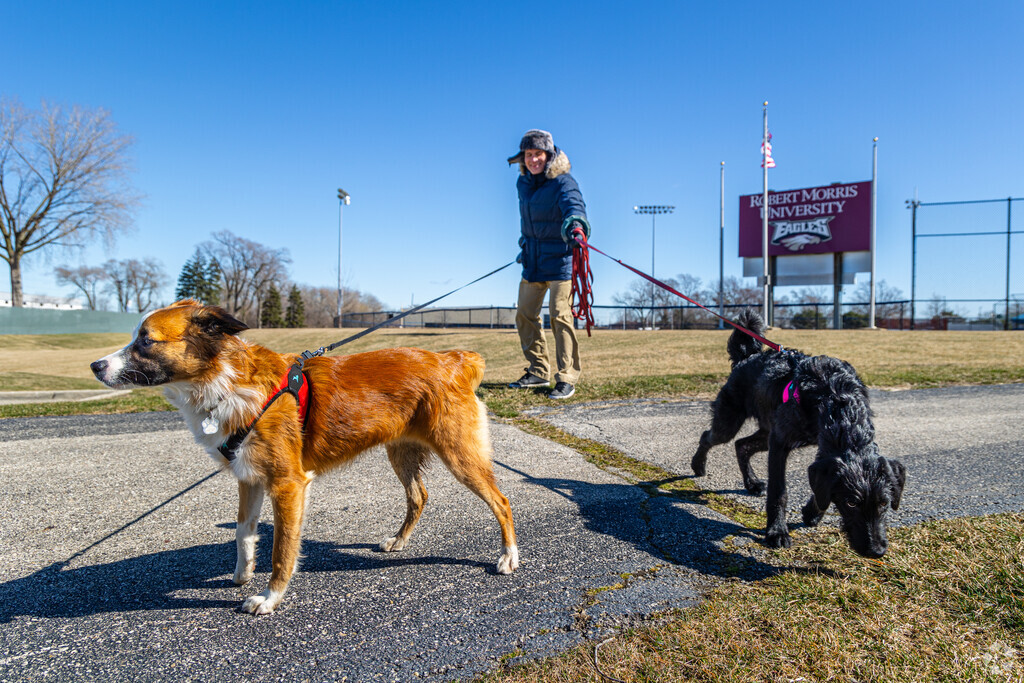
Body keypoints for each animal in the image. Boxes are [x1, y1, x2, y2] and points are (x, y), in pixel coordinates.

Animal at [91, 299, 516, 614]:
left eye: (146, 341)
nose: (95, 365)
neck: (226, 382)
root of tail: (453, 358)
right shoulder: (248, 477)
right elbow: (244, 532)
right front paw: (242, 573)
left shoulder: (288, 485)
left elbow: (282, 548)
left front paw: (269, 597)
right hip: (401, 451)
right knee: (419, 496)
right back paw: (398, 542)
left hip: (459, 455)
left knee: (501, 501)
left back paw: (508, 557)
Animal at [692, 313, 909, 557]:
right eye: (851, 503)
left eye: (884, 503)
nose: (876, 551)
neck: (836, 398)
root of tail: (746, 358)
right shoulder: (780, 444)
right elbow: (779, 491)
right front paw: (776, 531)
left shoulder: (818, 450)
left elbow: (822, 486)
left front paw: (812, 513)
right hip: (730, 422)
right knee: (709, 437)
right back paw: (698, 465)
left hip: (766, 431)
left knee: (741, 445)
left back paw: (752, 483)